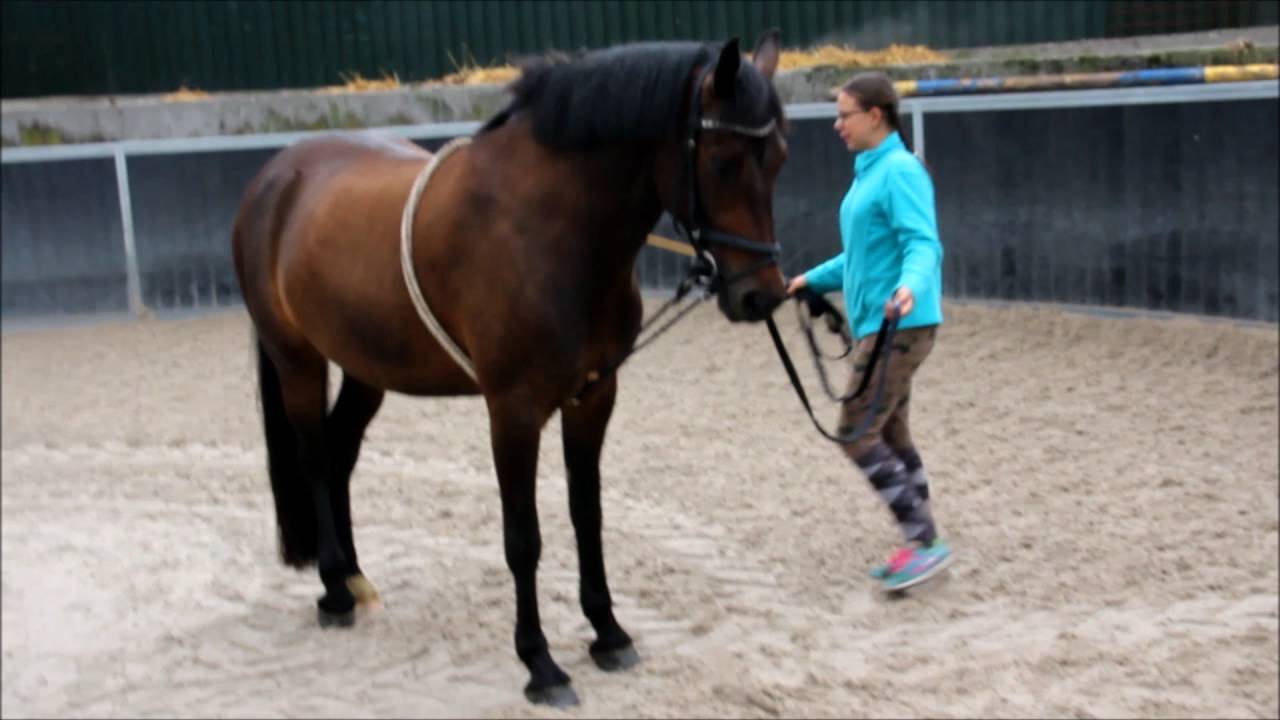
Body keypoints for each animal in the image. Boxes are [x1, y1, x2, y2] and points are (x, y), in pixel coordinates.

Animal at [231, 31, 789, 707]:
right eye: (724, 161)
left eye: (780, 157)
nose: (761, 296)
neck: (546, 231)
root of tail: (276, 176)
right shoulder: (514, 411)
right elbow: (523, 539)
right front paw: (540, 664)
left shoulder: (593, 397)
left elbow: (587, 516)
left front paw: (608, 633)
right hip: (299, 360)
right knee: (315, 458)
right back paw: (335, 589)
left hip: (367, 369)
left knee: (339, 456)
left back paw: (356, 580)